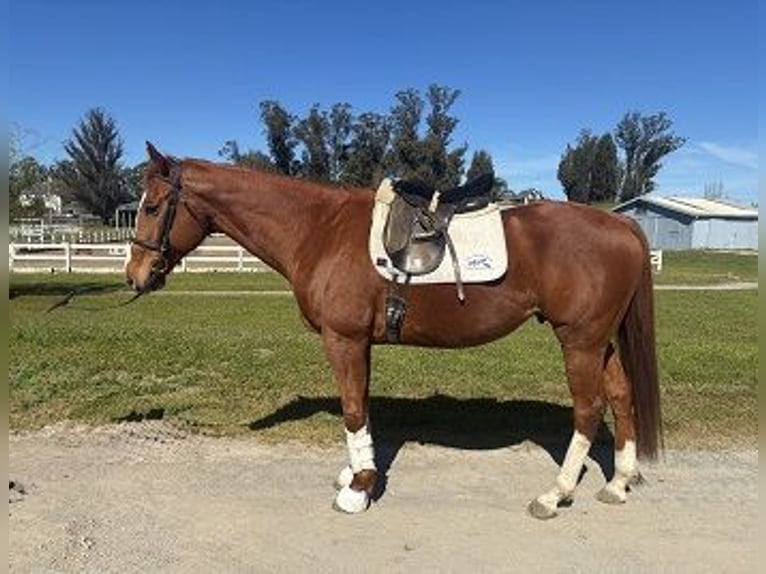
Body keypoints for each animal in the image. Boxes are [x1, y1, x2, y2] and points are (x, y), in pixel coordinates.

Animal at [126, 143, 662, 519]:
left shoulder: (343, 339)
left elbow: (351, 408)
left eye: (152, 208)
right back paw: (617, 483)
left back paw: (555, 494)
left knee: (589, 410)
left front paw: (359, 489)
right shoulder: (358, 342)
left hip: (579, 341)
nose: (134, 275)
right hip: (598, 341)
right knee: (621, 395)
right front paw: (354, 473)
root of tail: (622, 226)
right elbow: (360, 407)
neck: (318, 228)